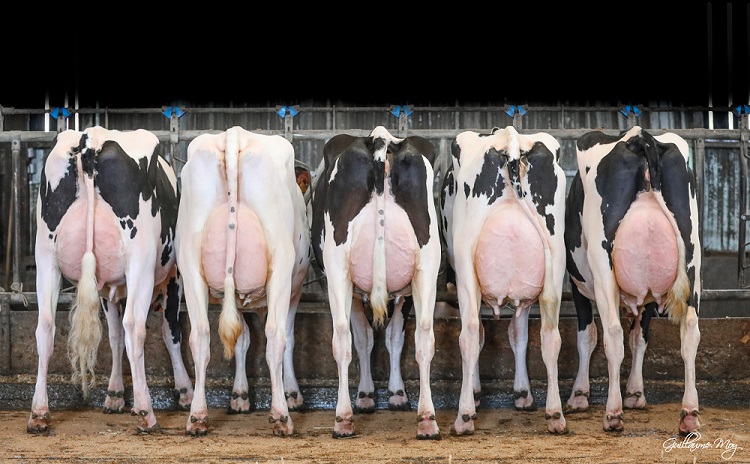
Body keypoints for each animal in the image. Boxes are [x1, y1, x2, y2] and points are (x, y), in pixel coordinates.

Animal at [29, 126, 193, 434]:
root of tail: (90, 139)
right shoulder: (174, 277)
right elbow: (171, 332)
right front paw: (185, 391)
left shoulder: (107, 289)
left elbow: (114, 337)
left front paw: (114, 395)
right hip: (140, 260)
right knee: (134, 327)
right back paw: (147, 413)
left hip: (45, 256)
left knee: (45, 326)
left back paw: (39, 413)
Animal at [175, 125, 310, 437]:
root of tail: (235, 134)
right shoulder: (295, 289)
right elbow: (288, 337)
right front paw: (292, 395)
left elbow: (242, 340)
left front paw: (239, 396)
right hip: (281, 266)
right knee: (275, 336)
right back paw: (281, 416)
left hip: (190, 264)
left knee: (200, 336)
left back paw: (197, 417)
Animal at [310, 126, 442, 440]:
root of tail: (380, 139)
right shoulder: (405, 291)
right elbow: (392, 337)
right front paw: (394, 394)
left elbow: (365, 338)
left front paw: (370, 396)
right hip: (426, 266)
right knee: (424, 337)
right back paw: (427, 420)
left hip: (338, 270)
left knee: (342, 338)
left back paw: (343, 419)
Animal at [439, 125, 568, 436]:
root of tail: (510, 139)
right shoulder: (525, 297)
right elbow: (519, 335)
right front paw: (523, 394)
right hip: (555, 264)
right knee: (550, 336)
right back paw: (555, 414)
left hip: (466, 267)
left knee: (470, 333)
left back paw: (464, 416)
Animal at [564, 126, 702, 435]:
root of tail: (638, 136)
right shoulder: (648, 296)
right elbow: (640, 337)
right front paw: (636, 393)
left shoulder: (578, 284)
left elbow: (587, 336)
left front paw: (579, 395)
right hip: (693, 258)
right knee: (690, 331)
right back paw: (689, 413)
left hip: (602, 265)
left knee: (613, 335)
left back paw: (613, 414)